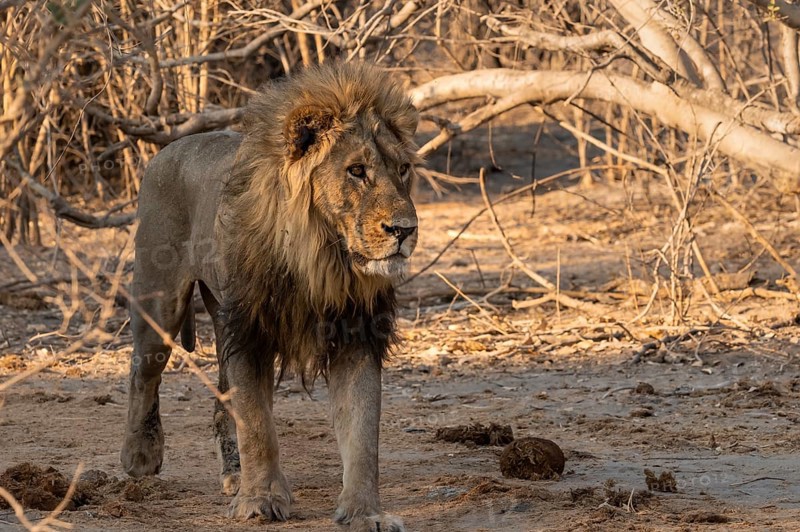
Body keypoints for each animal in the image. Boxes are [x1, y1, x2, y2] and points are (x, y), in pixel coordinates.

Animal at [120, 62, 419, 532]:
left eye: (403, 168)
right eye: (356, 170)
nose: (406, 230)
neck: (320, 259)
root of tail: (169, 148)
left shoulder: (357, 335)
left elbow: (362, 433)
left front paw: (364, 512)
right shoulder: (248, 331)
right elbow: (258, 425)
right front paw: (260, 500)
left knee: (223, 402)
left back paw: (233, 475)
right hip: (159, 303)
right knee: (143, 373)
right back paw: (140, 457)